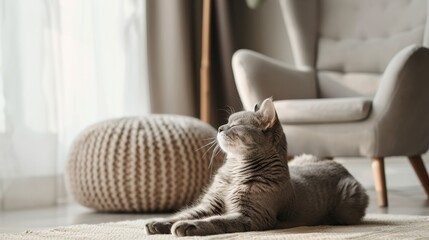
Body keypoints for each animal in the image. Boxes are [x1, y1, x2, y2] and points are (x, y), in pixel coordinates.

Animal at [145, 97, 368, 236]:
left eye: (234, 125)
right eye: (227, 121)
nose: (219, 127)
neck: (233, 175)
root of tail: (342, 167)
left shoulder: (251, 216)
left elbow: (216, 221)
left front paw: (187, 226)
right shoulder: (210, 204)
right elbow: (185, 213)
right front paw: (159, 222)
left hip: (347, 205)